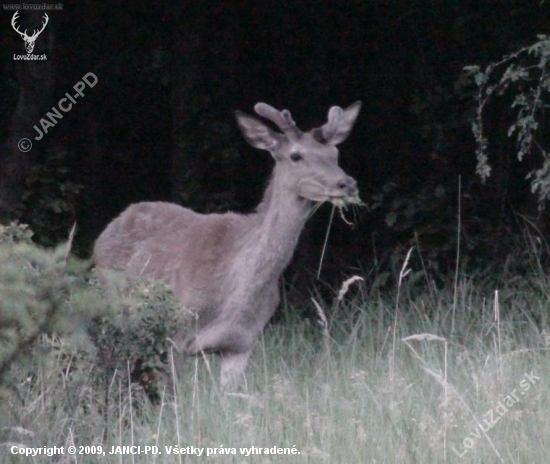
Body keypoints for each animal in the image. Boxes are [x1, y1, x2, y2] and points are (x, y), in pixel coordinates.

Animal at [93, 102, 364, 388]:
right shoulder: (176, 334)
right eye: (296, 155)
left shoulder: (243, 343)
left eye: (335, 153)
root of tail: (112, 225)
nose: (347, 184)